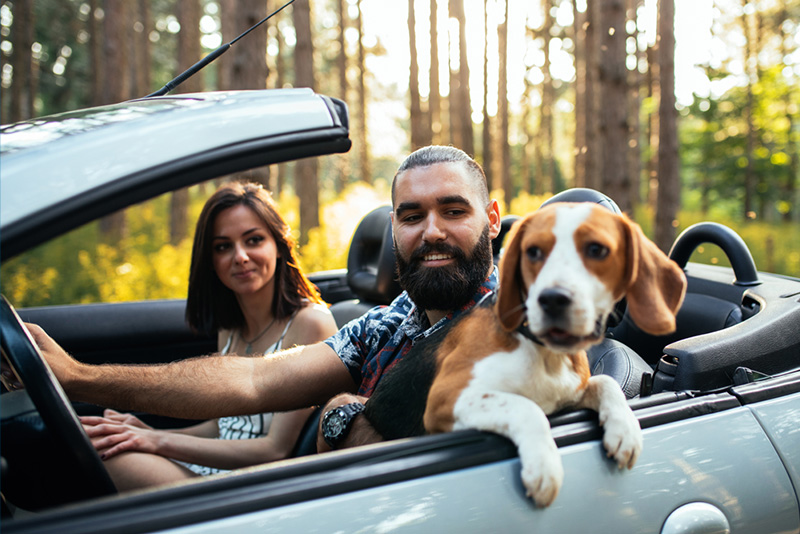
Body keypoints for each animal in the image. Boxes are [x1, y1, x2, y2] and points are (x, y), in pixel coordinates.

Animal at [424, 203, 688, 508]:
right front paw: (544, 467)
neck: (547, 354)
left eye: (596, 249)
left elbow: (607, 382)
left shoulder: (572, 391)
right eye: (533, 251)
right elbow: (527, 406)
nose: (552, 299)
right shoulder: (447, 397)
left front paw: (625, 430)